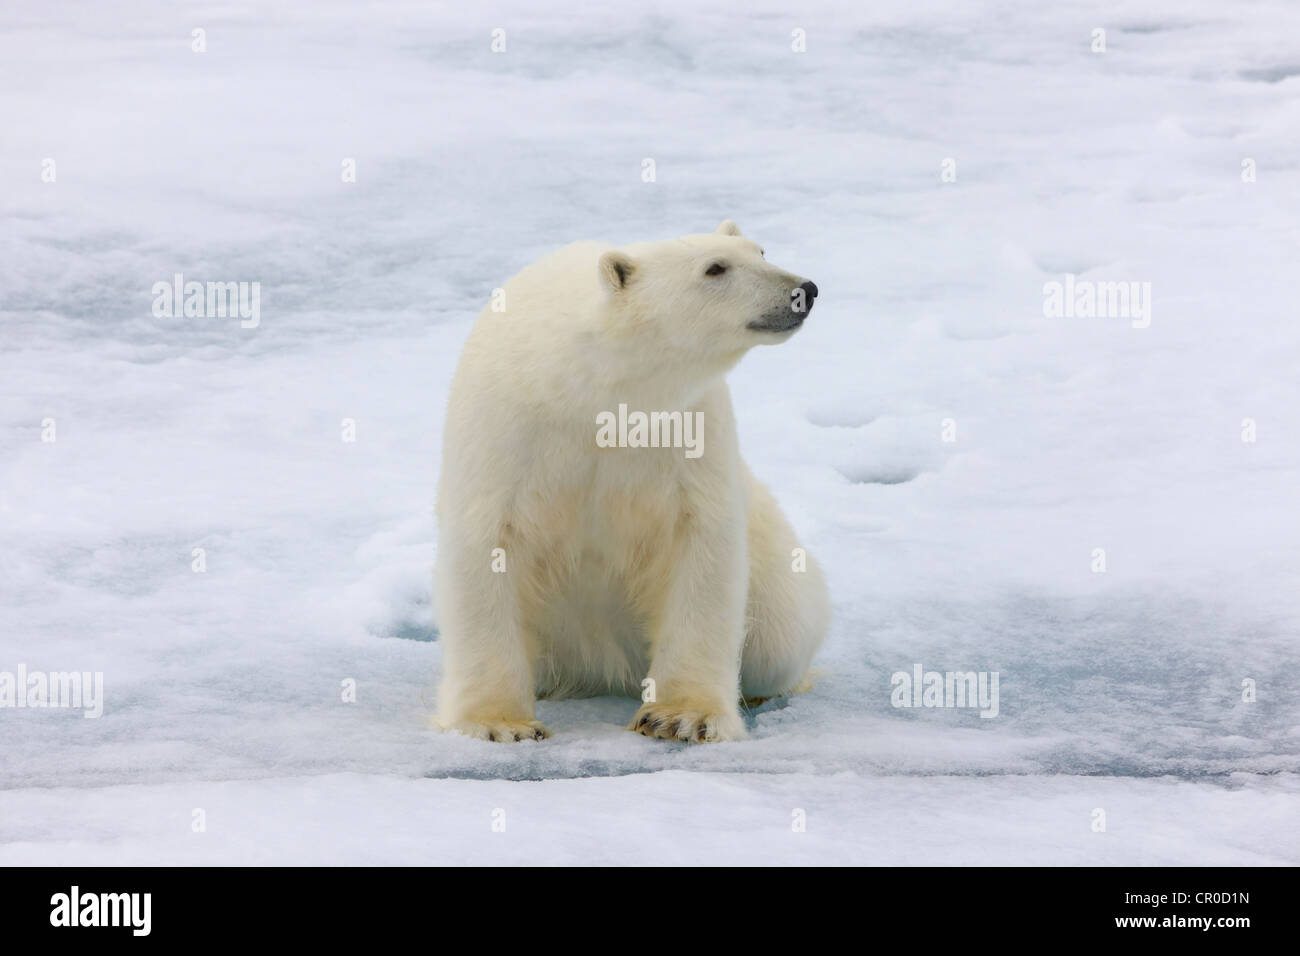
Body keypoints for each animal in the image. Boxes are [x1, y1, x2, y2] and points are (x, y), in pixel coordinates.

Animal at [431, 221, 826, 743]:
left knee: (779, 644)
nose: (804, 290)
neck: (588, 387)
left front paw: (681, 716)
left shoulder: (688, 429)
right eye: (715, 268)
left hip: (775, 576)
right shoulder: (506, 427)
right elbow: (486, 545)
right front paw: (498, 723)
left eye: (760, 251)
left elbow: (701, 543)